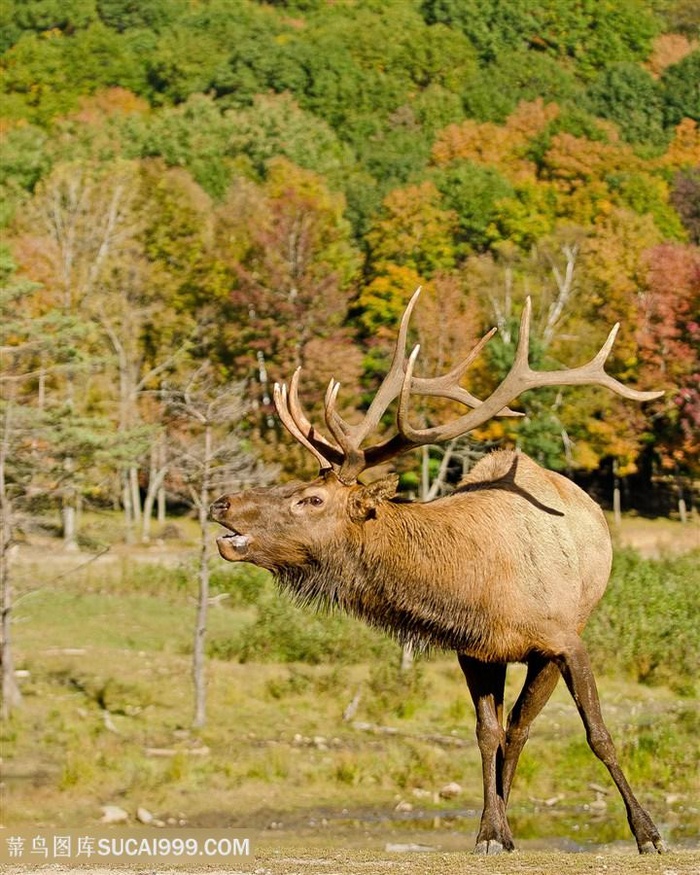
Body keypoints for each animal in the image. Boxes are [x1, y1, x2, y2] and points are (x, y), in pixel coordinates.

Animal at [212, 290, 668, 852]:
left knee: (523, 726)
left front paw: (647, 832)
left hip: (560, 638)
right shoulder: (473, 650)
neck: (478, 588)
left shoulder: (564, 640)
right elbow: (485, 735)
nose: (223, 503)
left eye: (311, 499)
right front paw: (491, 831)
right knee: (510, 730)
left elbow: (598, 733)